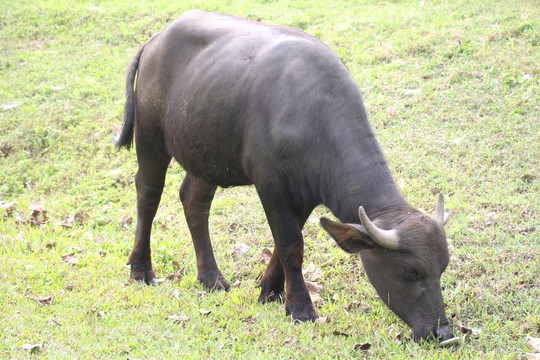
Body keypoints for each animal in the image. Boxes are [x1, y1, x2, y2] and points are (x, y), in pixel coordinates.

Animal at [117, 9, 456, 344]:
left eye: (443, 266)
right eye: (411, 270)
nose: (443, 332)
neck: (313, 117)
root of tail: (155, 40)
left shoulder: (305, 194)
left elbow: (286, 243)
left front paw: (270, 290)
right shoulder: (270, 183)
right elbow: (290, 245)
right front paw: (301, 308)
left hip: (205, 154)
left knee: (193, 201)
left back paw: (211, 277)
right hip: (150, 136)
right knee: (148, 194)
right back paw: (141, 269)